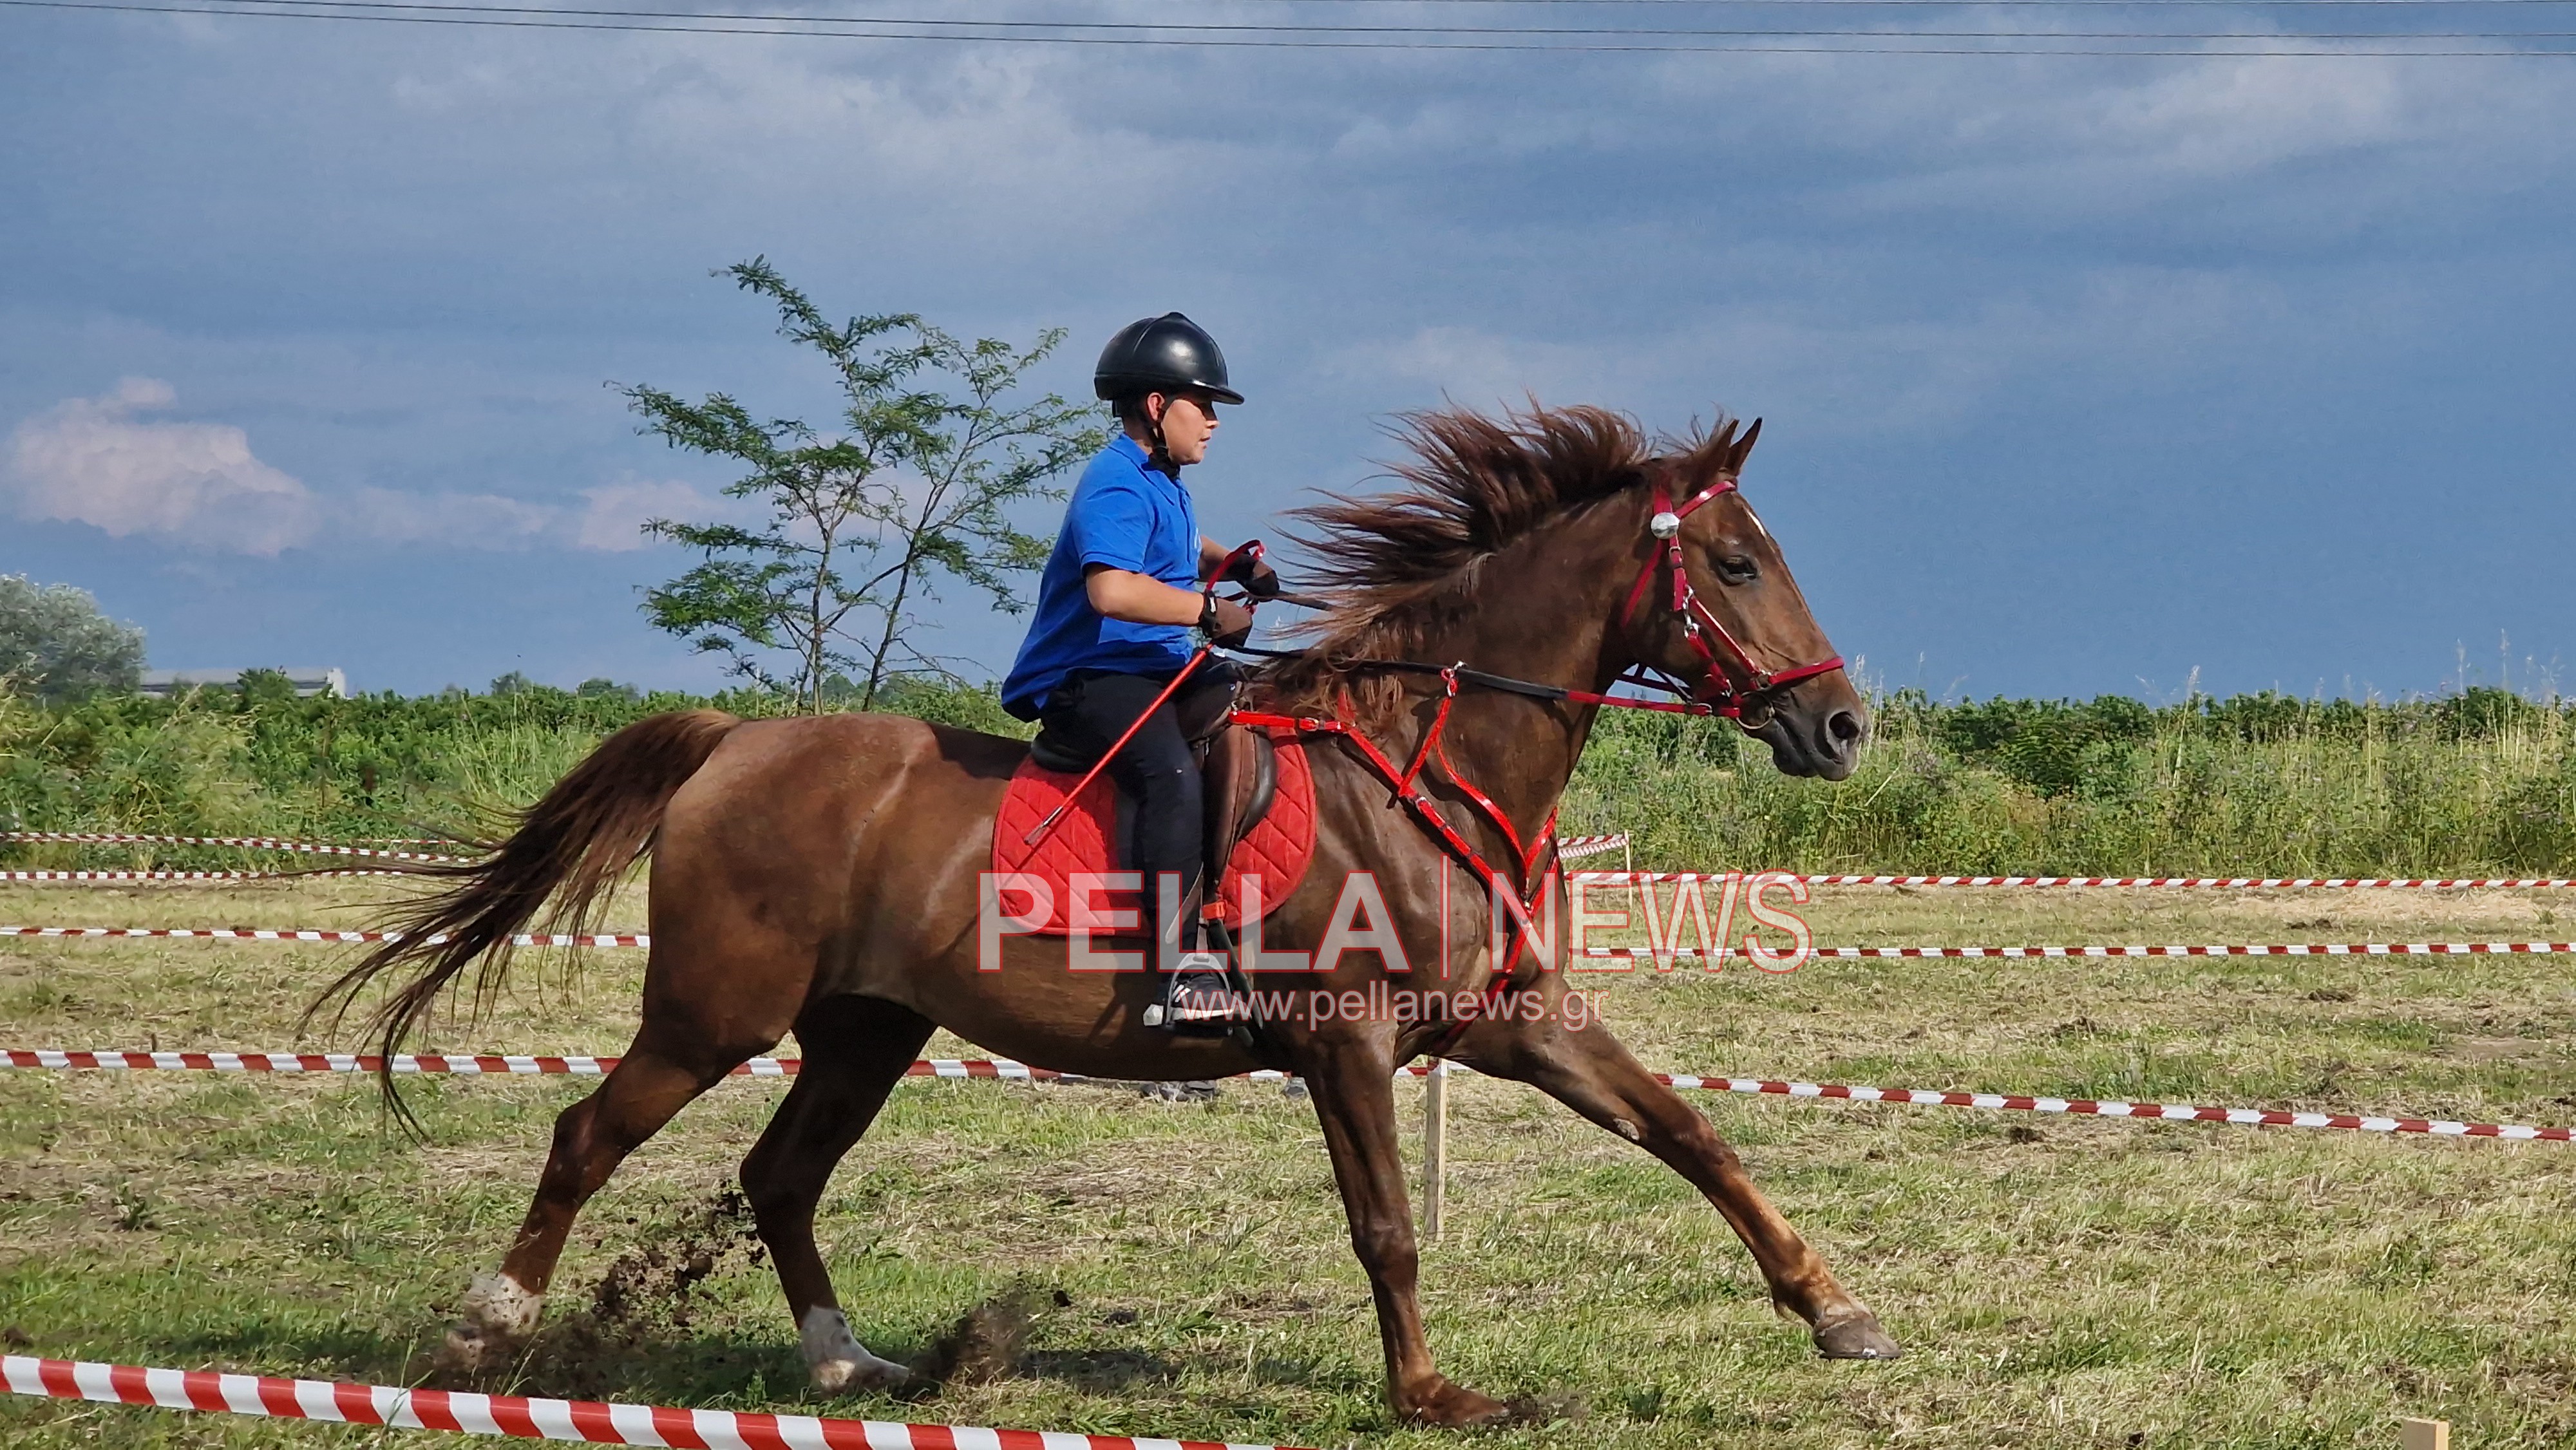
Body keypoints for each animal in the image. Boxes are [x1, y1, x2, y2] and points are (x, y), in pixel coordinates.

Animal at [317, 407, 1896, 1432]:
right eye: (1736, 564)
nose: (1838, 726)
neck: (1430, 755)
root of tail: (732, 745)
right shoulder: (1348, 1044)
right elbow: (1387, 1223)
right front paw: (1431, 1392)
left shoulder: (1509, 1020)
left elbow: (1689, 1132)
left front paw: (1833, 1309)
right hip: (716, 1014)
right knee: (589, 1134)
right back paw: (491, 1324)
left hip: (865, 1032)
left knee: (779, 1176)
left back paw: (847, 1366)